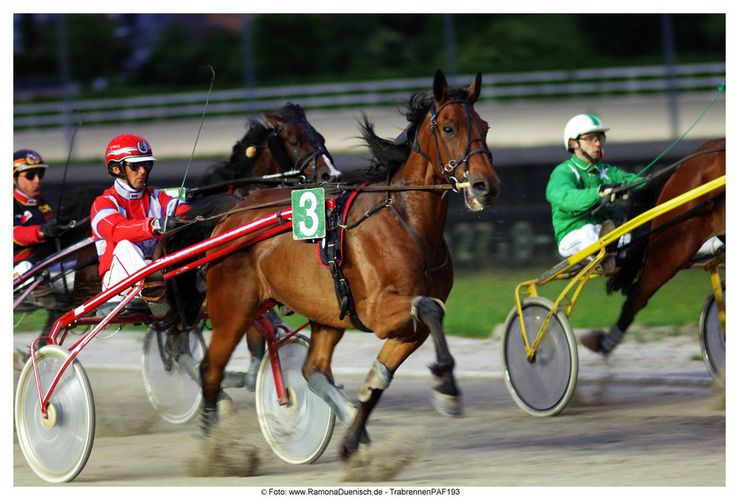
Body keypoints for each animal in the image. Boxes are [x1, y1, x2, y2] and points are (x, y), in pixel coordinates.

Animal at [199, 69, 500, 458]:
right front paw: (447, 389)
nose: (485, 186)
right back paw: (211, 450)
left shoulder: (406, 328)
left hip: (326, 313)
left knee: (313, 369)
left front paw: (354, 440)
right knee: (211, 370)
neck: (407, 222)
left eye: (485, 126)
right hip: (233, 308)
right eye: (449, 128)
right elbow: (430, 308)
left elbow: (380, 377)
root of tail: (230, 217)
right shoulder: (377, 311)